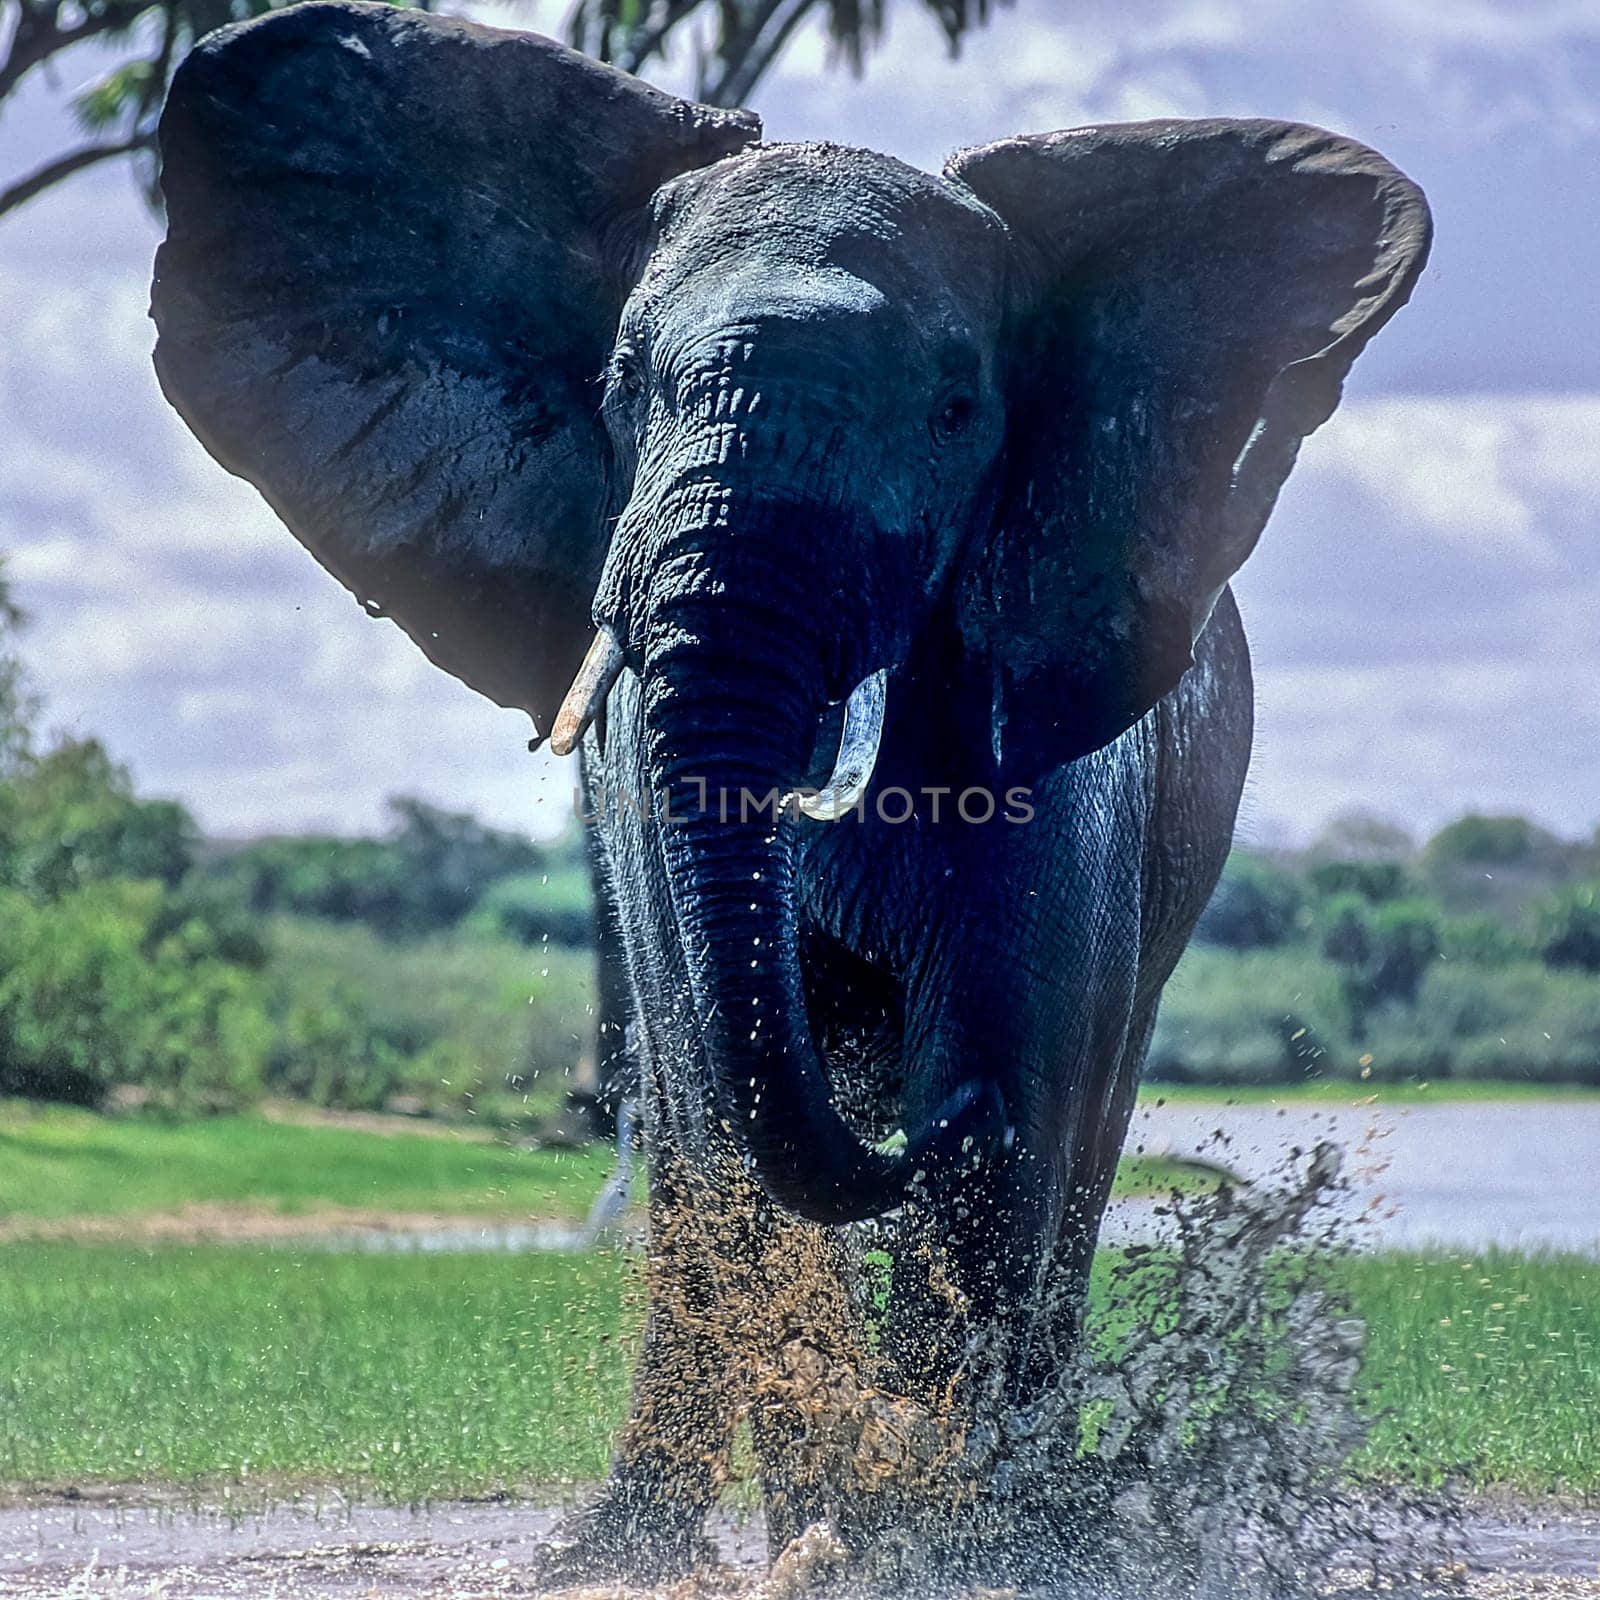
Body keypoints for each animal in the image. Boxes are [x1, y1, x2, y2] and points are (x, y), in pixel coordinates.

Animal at [147, 0, 1427, 1574]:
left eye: (955, 410)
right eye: (624, 382)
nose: (926, 1118)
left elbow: (1008, 1091)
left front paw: (941, 1549)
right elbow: (727, 1112)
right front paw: (838, 1539)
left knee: (1084, 1114)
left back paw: (1044, 1520)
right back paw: (625, 1552)